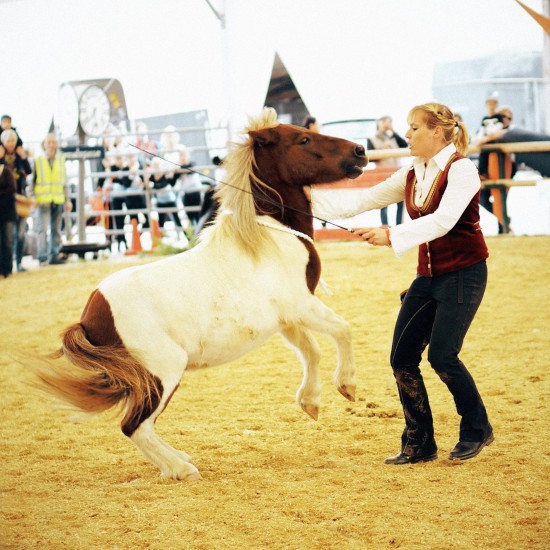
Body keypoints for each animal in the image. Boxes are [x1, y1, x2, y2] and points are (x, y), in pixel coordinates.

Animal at [36, 106, 368, 478]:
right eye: (304, 139)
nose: (360, 151)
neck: (272, 237)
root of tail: (89, 316)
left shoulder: (287, 318)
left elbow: (311, 351)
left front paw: (310, 402)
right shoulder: (302, 305)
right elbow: (342, 330)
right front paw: (348, 385)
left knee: (142, 425)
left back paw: (180, 460)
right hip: (163, 372)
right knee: (134, 426)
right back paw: (181, 469)